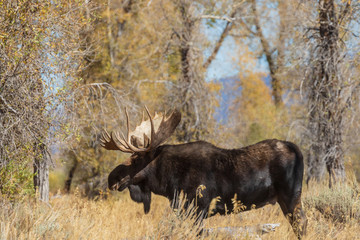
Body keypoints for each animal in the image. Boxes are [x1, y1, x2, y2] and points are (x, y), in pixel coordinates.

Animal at [100, 108, 306, 238]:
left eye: (136, 159)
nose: (111, 178)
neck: (168, 181)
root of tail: (296, 149)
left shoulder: (198, 208)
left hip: (291, 196)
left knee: (301, 225)